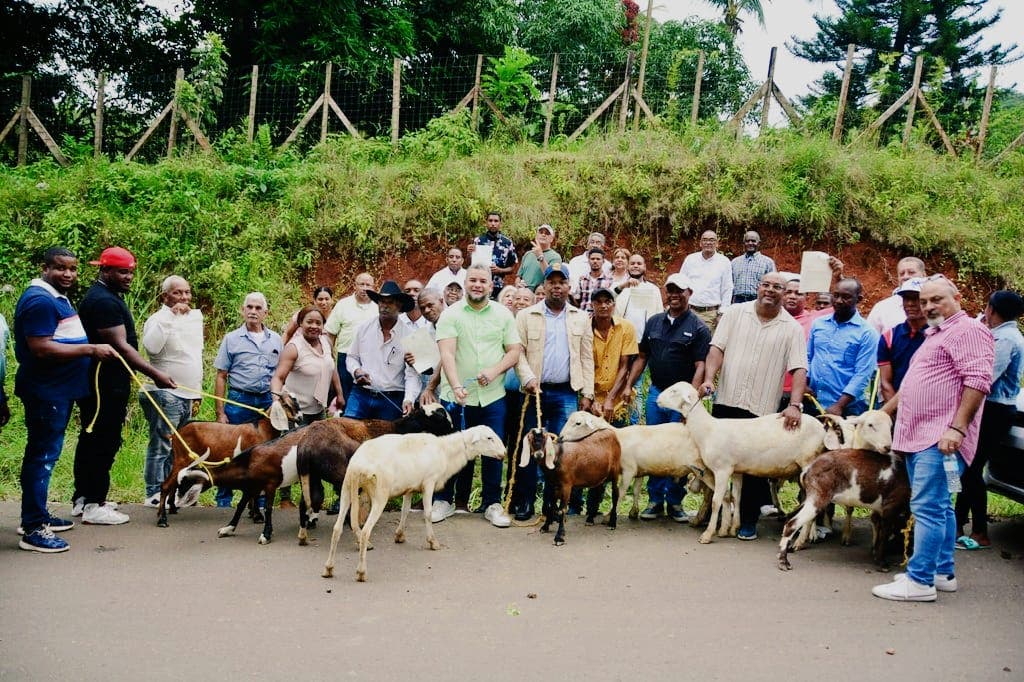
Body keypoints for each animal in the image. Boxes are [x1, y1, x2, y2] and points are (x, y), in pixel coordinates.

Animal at [294, 403, 450, 540]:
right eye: (439, 418)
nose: (452, 430)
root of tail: (306, 446)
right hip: (340, 472)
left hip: (311, 475)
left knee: (310, 499)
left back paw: (303, 535)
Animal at [321, 425, 505, 577]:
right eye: (489, 438)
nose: (504, 453)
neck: (446, 452)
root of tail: (358, 466)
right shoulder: (429, 482)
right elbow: (428, 514)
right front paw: (432, 542)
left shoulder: (409, 488)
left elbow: (405, 510)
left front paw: (400, 535)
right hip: (380, 494)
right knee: (365, 531)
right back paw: (361, 572)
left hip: (346, 489)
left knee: (337, 528)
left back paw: (328, 568)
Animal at [557, 409, 716, 520]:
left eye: (578, 423)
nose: (560, 437)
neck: (618, 437)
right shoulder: (639, 471)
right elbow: (636, 491)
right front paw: (633, 512)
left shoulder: (628, 470)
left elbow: (621, 493)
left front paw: (610, 515)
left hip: (703, 469)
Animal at [651, 376, 827, 540]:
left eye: (674, 391)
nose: (657, 399)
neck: (707, 430)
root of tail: (822, 428)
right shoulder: (736, 470)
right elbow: (736, 497)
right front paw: (730, 529)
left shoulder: (722, 469)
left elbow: (716, 501)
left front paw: (708, 534)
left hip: (808, 462)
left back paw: (805, 537)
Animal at [774, 448, 913, 569]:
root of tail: (807, 469)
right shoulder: (890, 508)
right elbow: (884, 535)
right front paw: (882, 564)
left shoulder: (880, 510)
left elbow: (877, 526)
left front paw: (874, 552)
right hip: (817, 499)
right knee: (792, 524)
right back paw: (784, 563)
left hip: (809, 499)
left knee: (790, 517)